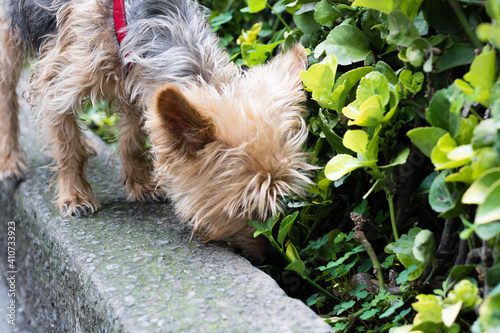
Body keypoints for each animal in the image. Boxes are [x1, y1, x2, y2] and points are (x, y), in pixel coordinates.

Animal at [0, 0, 312, 253]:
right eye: (242, 207)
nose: (271, 256)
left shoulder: (135, 80)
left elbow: (134, 138)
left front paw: (140, 183)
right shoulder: (59, 81)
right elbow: (68, 147)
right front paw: (74, 195)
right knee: (7, 96)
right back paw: (10, 161)